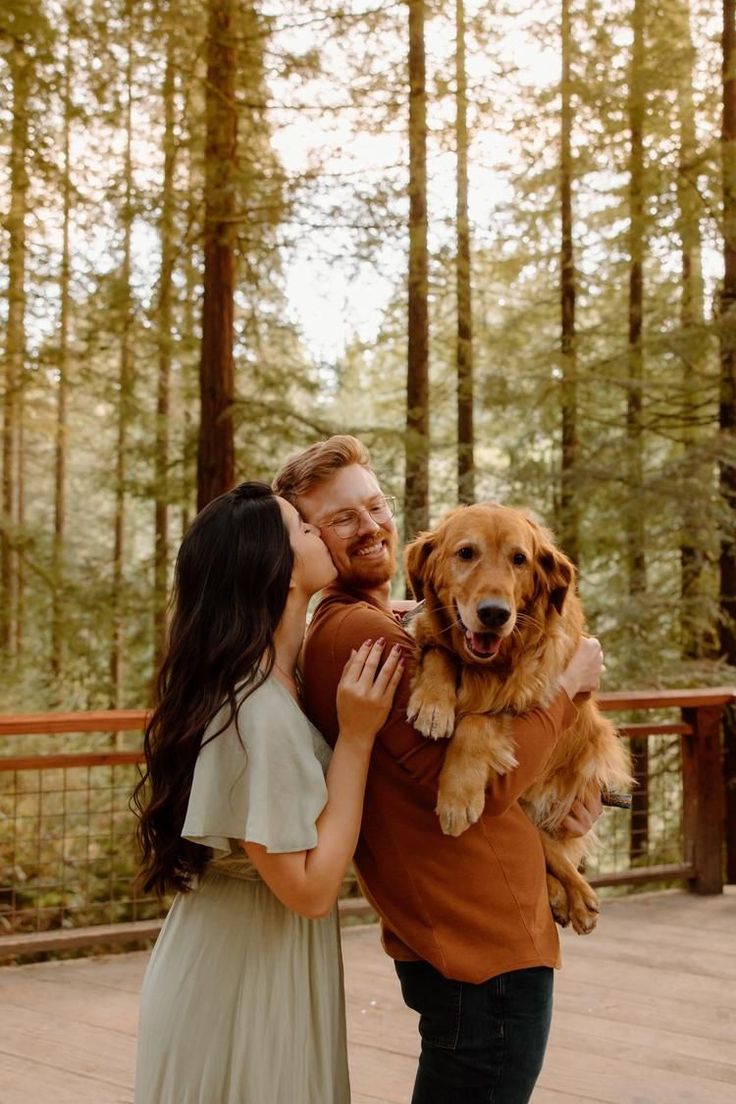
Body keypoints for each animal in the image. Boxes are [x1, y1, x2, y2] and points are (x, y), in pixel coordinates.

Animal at [406, 505, 631, 936]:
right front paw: (433, 703)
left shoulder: (527, 700)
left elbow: (477, 723)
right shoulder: (436, 637)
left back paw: (579, 897)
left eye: (519, 559)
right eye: (466, 553)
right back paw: (563, 896)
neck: (492, 664)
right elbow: (440, 653)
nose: (495, 614)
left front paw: (457, 796)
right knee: (541, 842)